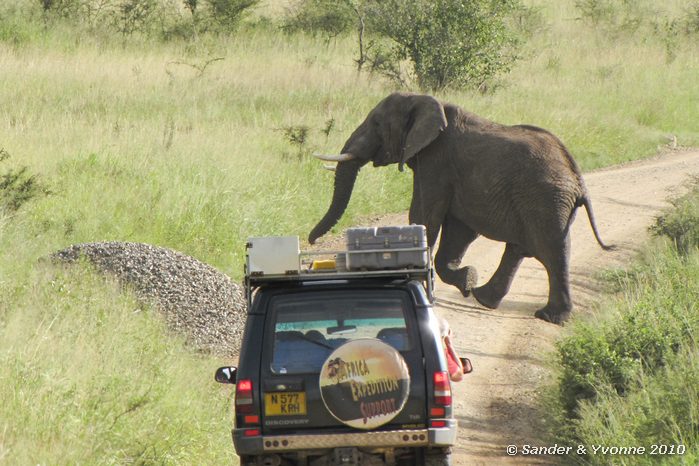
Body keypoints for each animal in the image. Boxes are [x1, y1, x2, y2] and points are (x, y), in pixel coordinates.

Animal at [308, 91, 616, 324]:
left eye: (375, 124)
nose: (310, 241)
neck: (428, 102)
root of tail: (578, 179)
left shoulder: (436, 162)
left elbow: (425, 215)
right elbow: (458, 230)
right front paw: (468, 281)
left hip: (544, 200)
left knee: (551, 251)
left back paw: (550, 317)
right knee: (520, 248)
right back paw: (484, 298)